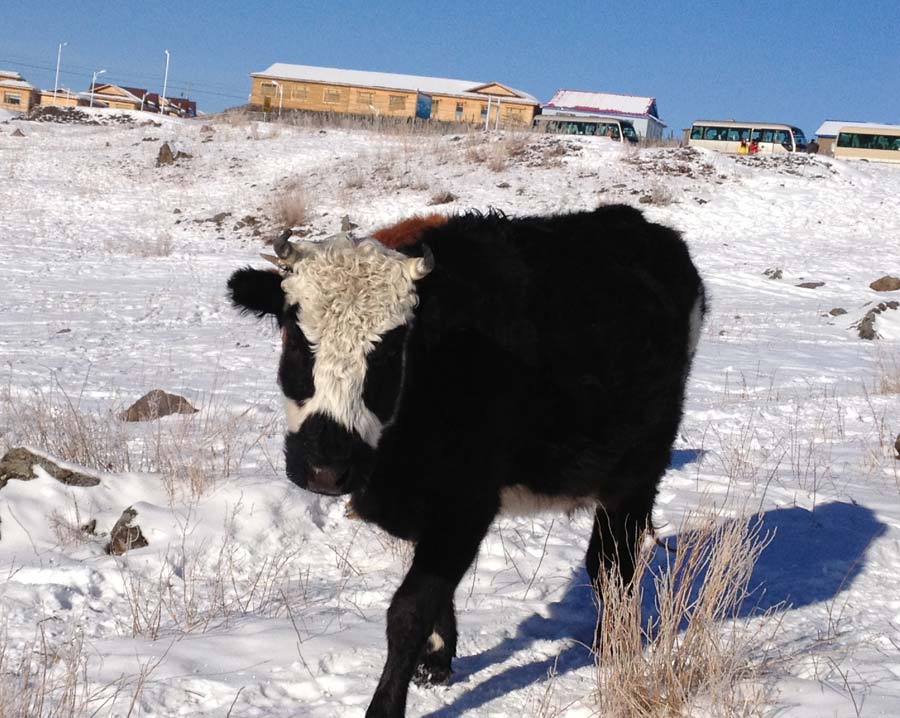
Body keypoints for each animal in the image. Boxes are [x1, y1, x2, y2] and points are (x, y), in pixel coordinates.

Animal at [229, 204, 708, 718]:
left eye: (391, 349)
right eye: (297, 336)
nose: (326, 470)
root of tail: (631, 221)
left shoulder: (468, 503)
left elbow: (409, 610)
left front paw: (386, 705)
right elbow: (435, 593)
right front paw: (436, 662)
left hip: (637, 471)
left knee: (611, 562)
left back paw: (612, 644)